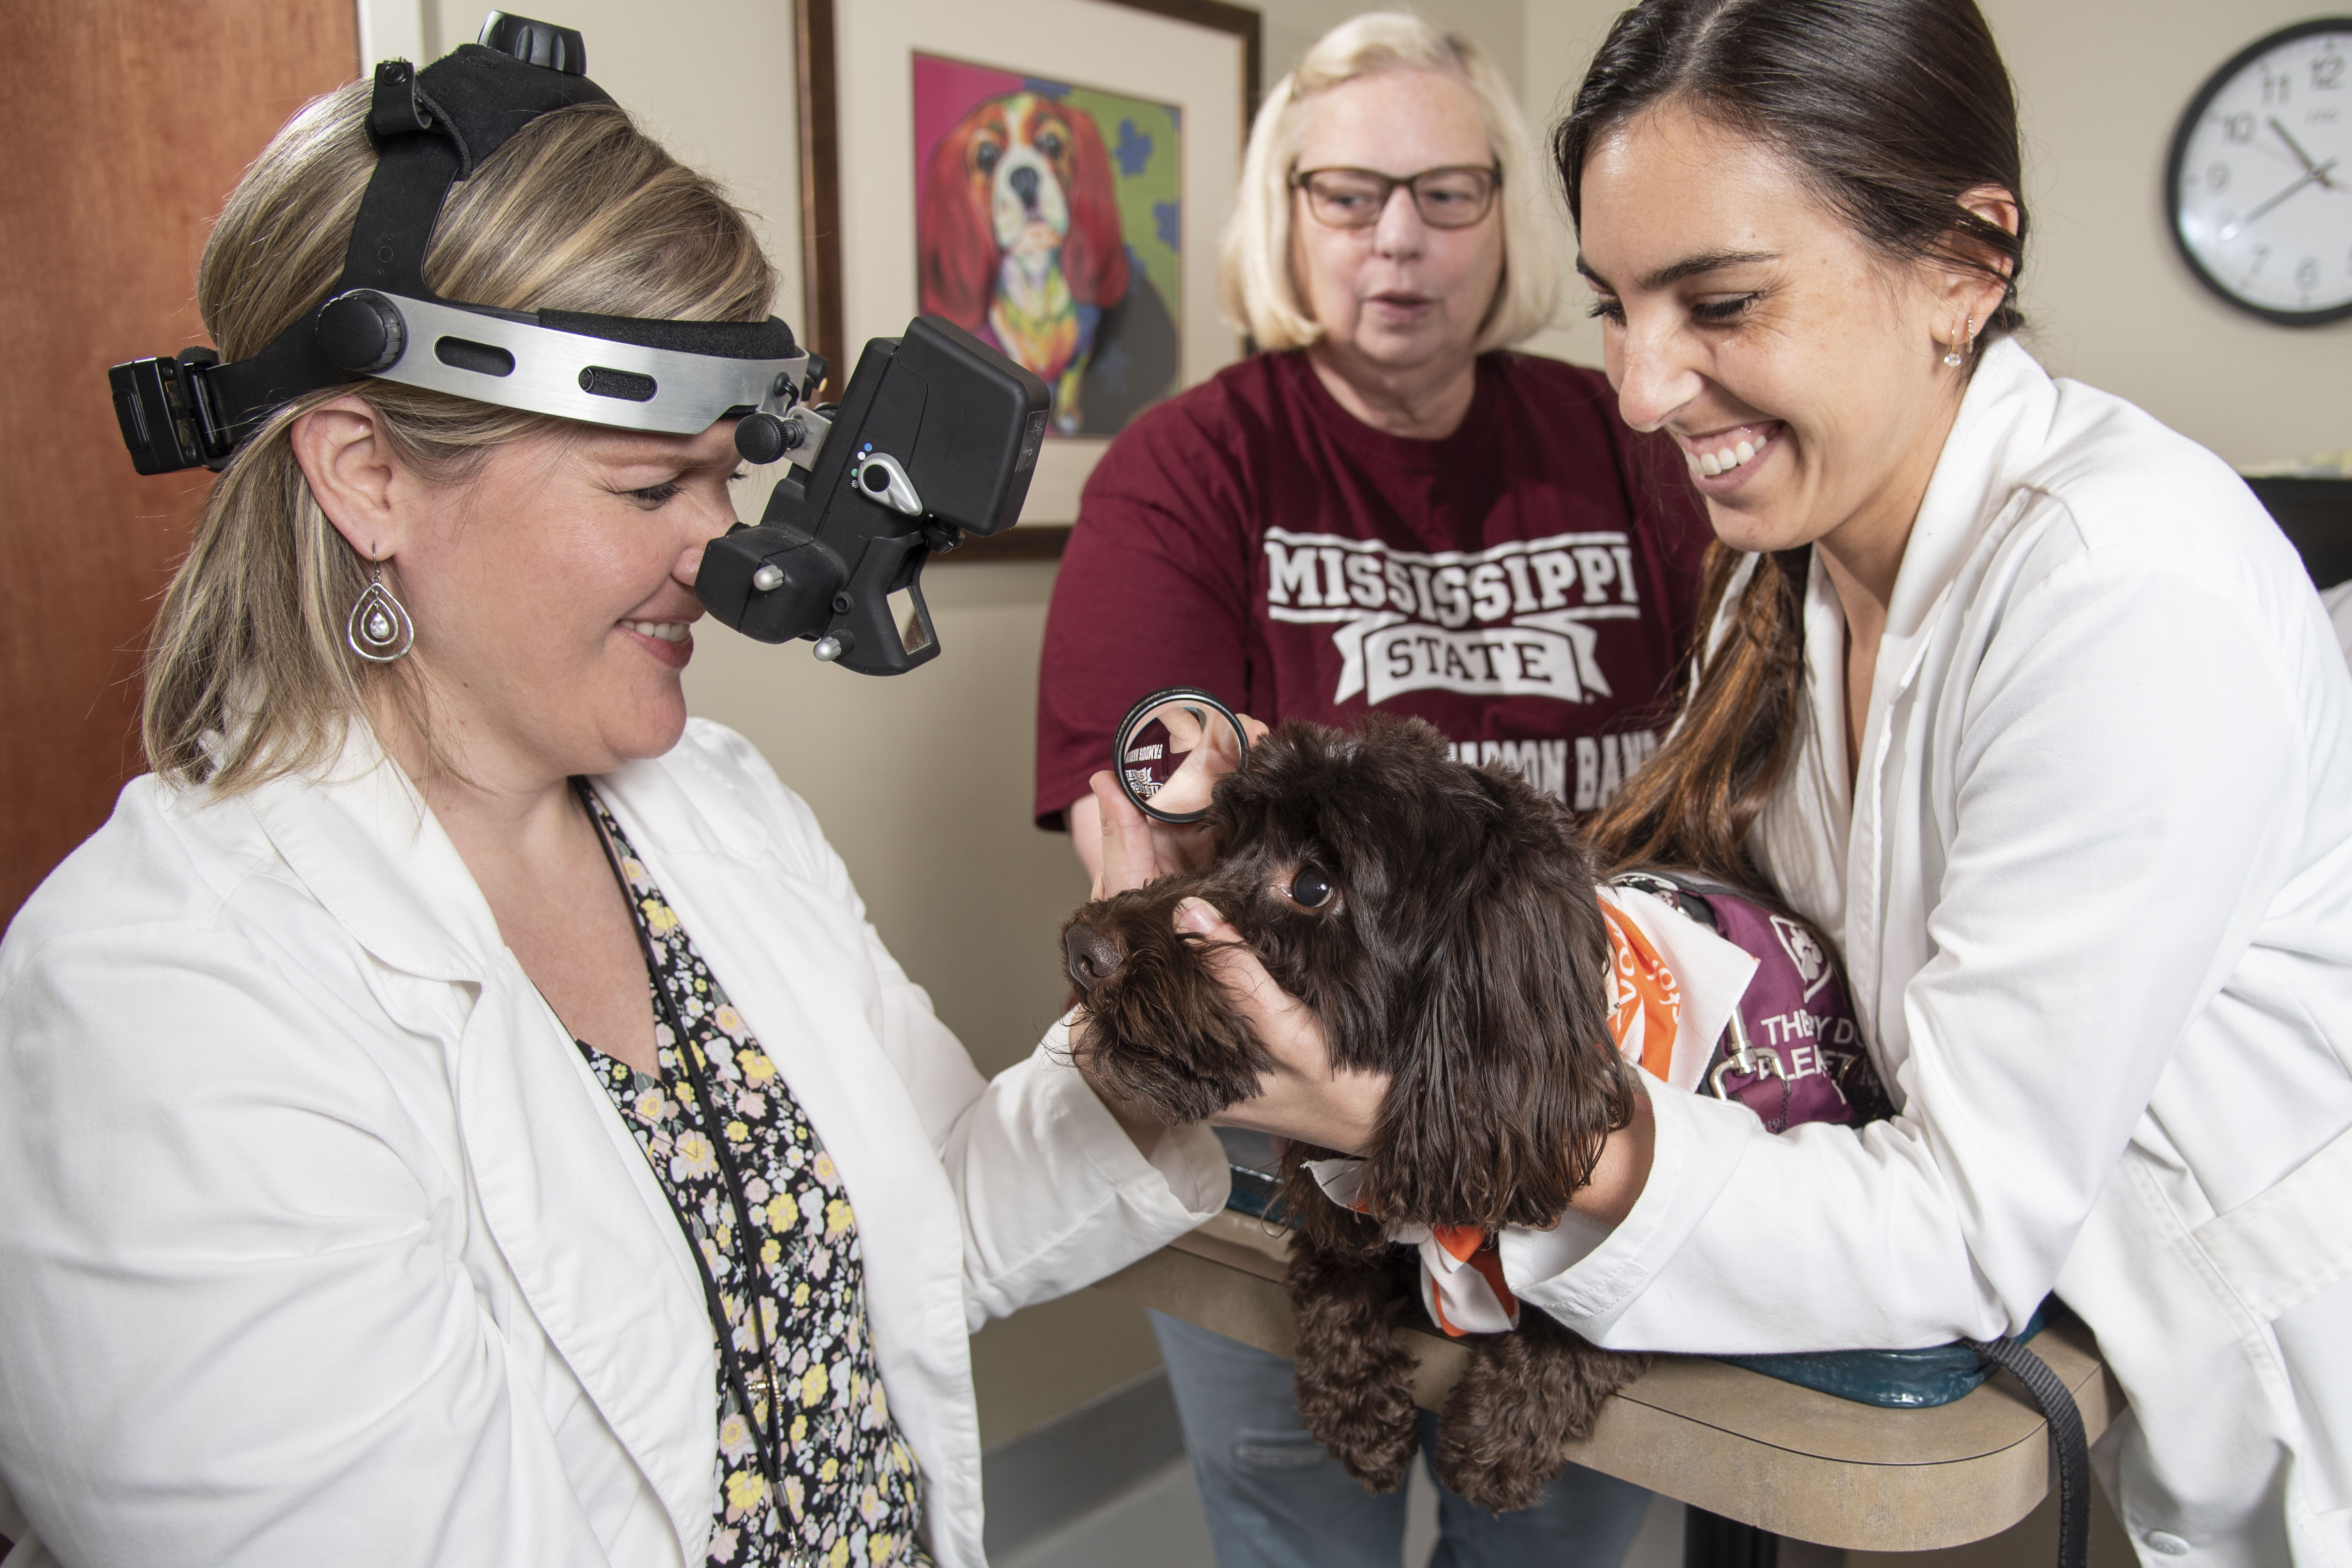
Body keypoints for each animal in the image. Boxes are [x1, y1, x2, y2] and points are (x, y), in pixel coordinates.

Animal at [1068, 719, 1656, 1514]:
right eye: (1221, 844)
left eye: (1312, 886)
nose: (1082, 950)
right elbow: (1332, 1270)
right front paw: (1357, 1412)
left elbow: (1601, 1313)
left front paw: (1496, 1438)